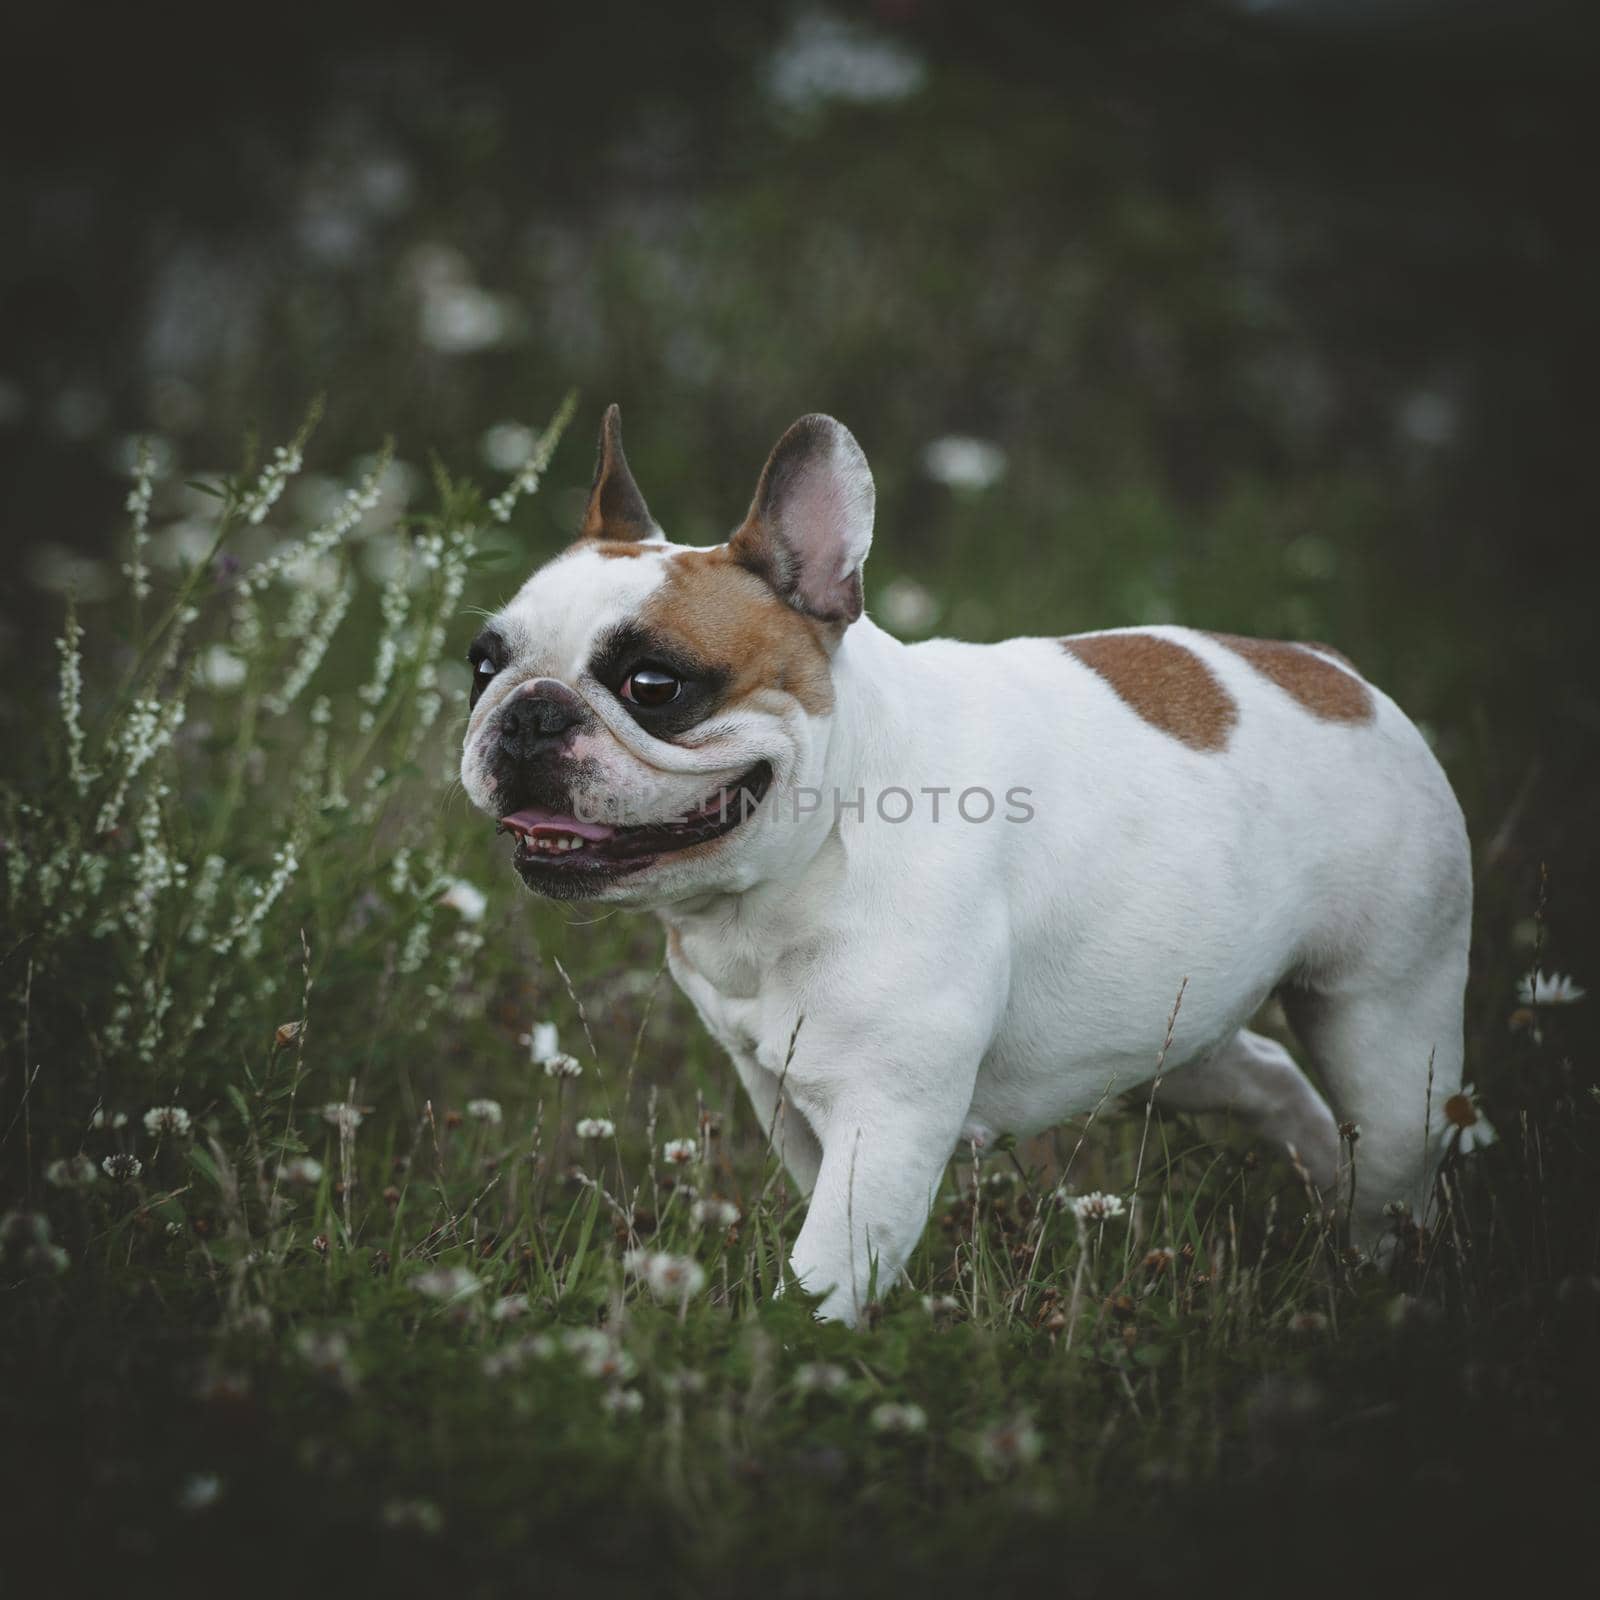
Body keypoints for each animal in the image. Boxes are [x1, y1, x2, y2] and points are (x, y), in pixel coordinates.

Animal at [457, 406, 1465, 1318]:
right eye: (482, 664)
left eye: (653, 686)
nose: (530, 710)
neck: (804, 861)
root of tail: (1340, 675)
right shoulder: (780, 1092)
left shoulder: (885, 1119)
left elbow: (824, 1272)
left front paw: (799, 1346)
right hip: (1171, 1027)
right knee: (1265, 1072)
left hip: (1386, 1022)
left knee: (1390, 1150)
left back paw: (1378, 1270)